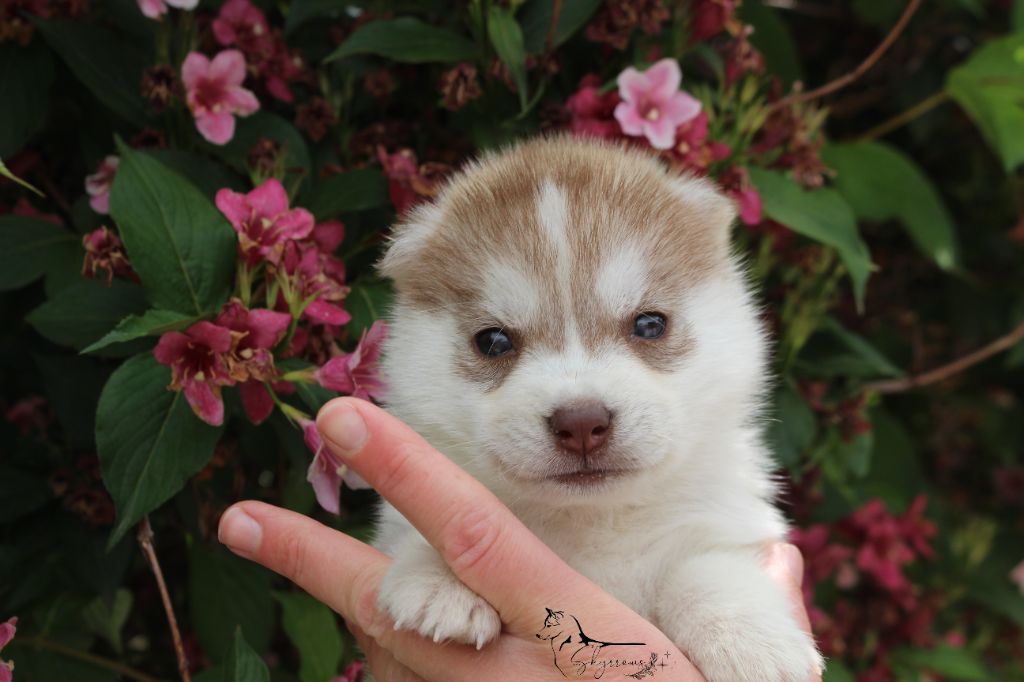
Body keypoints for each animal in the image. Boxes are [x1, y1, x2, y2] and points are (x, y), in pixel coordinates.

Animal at [369, 137, 823, 681]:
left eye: (649, 324)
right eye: (493, 340)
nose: (581, 422)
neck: (594, 522)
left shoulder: (722, 523)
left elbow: (706, 566)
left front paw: (749, 635)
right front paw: (439, 578)